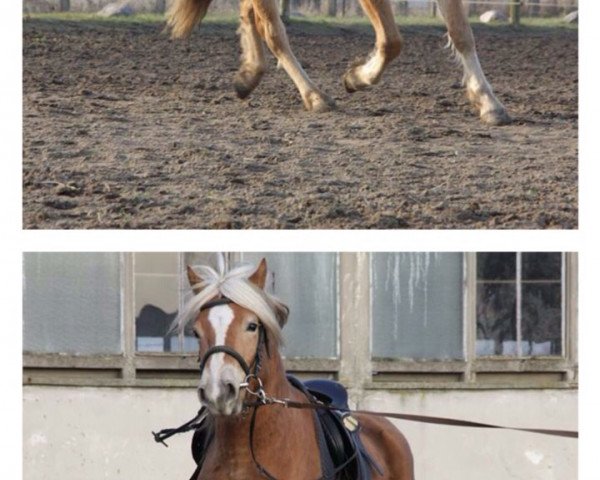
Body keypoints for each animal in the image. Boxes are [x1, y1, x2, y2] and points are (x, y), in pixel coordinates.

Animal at [166, 0, 508, 125]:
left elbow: (461, 32)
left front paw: (489, 103)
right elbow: (391, 41)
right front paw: (356, 77)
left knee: (251, 12)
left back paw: (248, 75)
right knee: (273, 30)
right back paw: (315, 97)